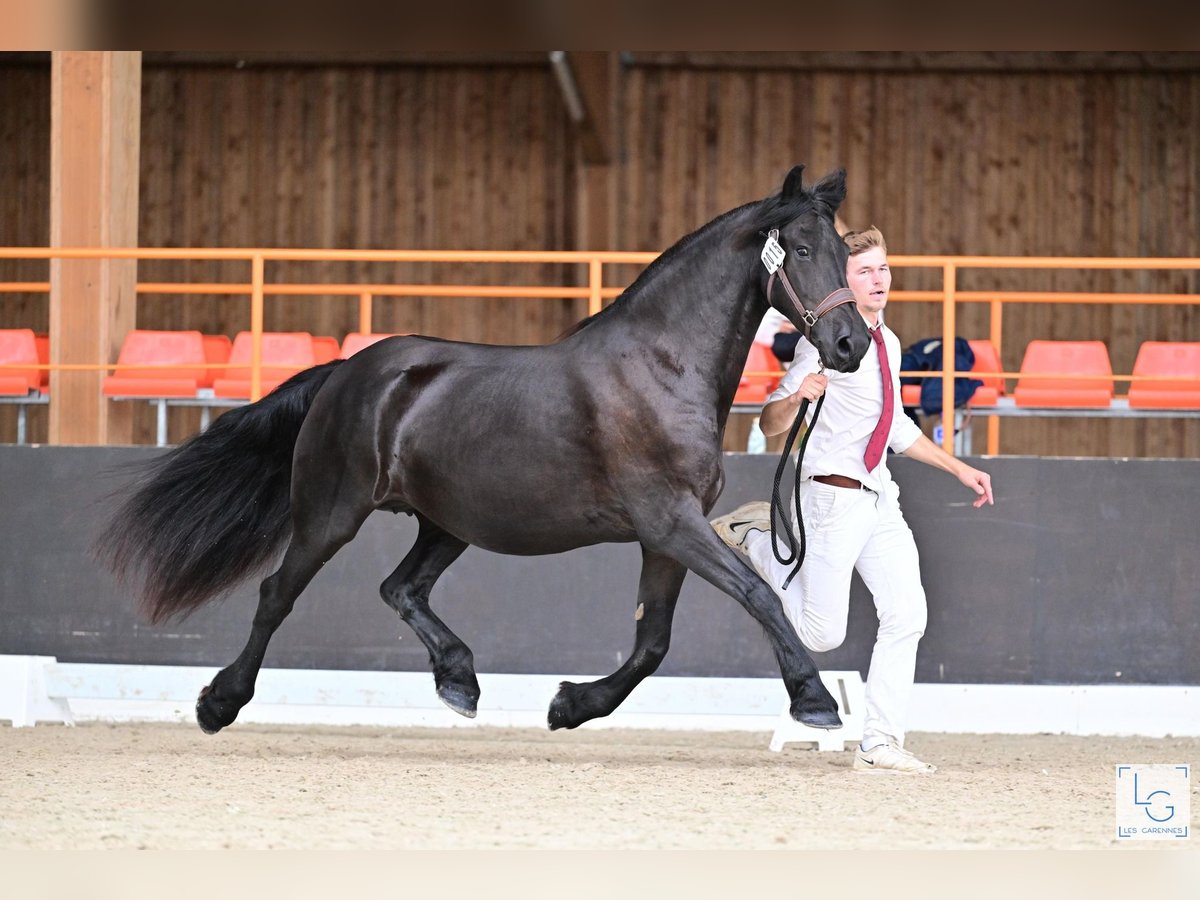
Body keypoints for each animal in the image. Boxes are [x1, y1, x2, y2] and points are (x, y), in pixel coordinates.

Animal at [93, 165, 864, 734]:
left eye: (844, 253)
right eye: (799, 250)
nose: (850, 344)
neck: (660, 366)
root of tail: (347, 372)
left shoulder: (665, 534)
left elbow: (653, 643)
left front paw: (569, 705)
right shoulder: (670, 521)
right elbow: (758, 594)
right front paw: (815, 700)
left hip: (446, 524)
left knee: (399, 588)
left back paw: (460, 680)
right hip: (330, 514)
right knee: (277, 594)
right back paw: (219, 703)